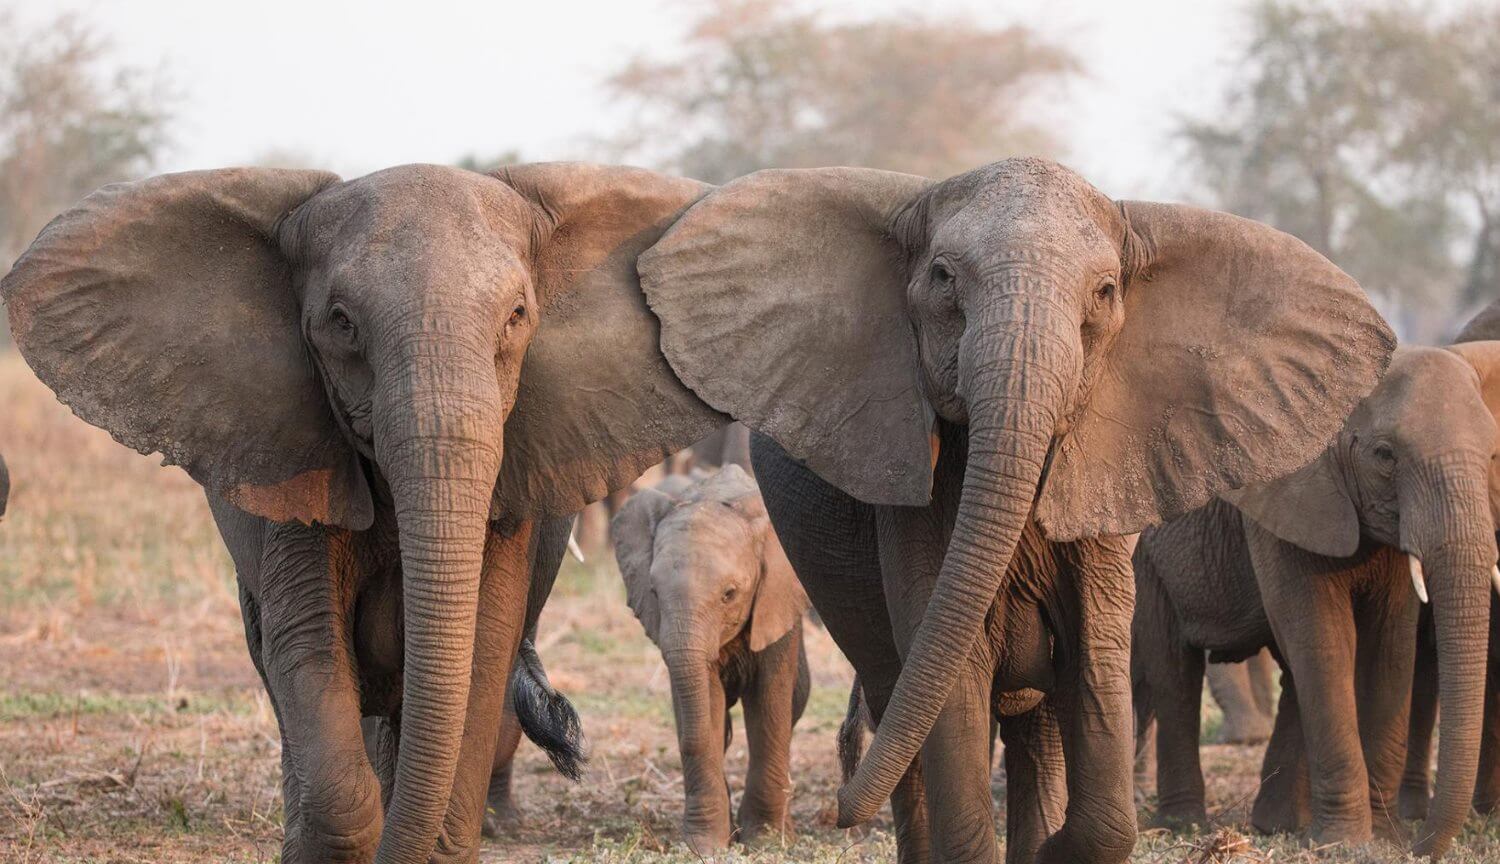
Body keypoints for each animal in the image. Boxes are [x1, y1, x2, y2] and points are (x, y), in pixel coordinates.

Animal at [609, 462, 810, 852]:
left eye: (729, 594)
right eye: (653, 592)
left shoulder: (777, 602)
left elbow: (770, 707)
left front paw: (765, 842)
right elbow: (704, 707)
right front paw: (705, 847)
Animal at [639, 156, 1398, 864]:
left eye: (1106, 291)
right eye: (943, 276)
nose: (836, 812)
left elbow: (1095, 653)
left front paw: (1055, 846)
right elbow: (951, 666)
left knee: (1032, 727)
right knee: (902, 699)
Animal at [1128, 345, 1494, 858]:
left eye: (1493, 455)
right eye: (1384, 456)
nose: (1418, 846)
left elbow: (1390, 648)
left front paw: (1381, 838)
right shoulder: (1282, 495)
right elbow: (1323, 642)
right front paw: (1344, 843)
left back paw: (1274, 823)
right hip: (1142, 550)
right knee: (1173, 671)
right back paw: (1183, 823)